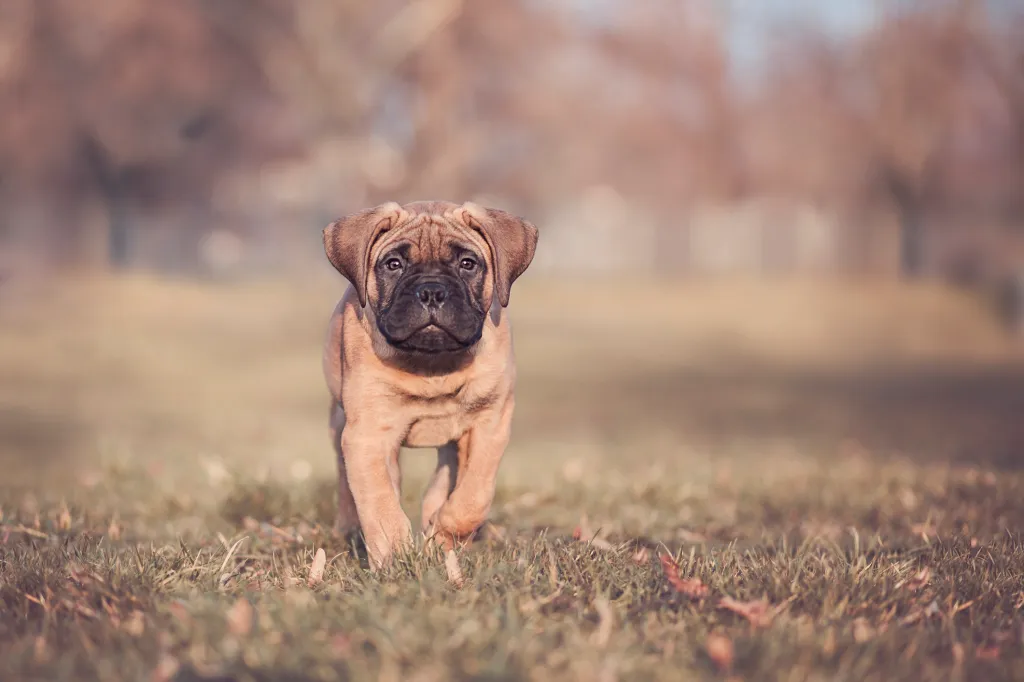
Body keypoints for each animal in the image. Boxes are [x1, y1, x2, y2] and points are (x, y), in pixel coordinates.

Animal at [321, 197, 540, 569]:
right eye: (393, 264)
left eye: (468, 264)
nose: (432, 291)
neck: (433, 364)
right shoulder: (367, 434)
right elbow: (380, 502)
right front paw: (395, 558)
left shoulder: (490, 424)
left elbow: (473, 496)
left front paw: (443, 538)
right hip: (341, 426)